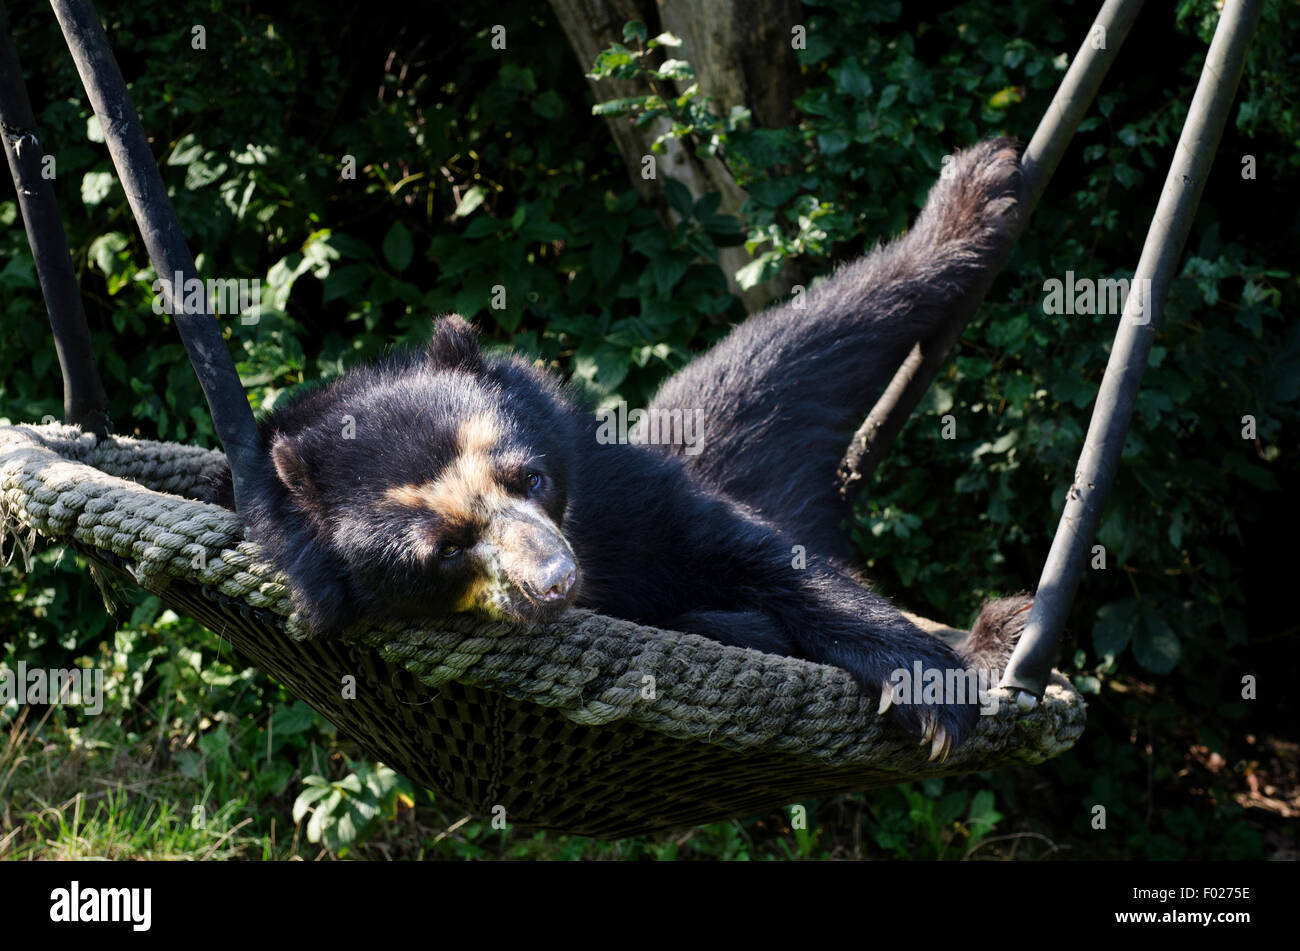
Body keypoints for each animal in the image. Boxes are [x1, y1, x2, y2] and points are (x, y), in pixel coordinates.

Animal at [211, 138, 1028, 760]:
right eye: (443, 548)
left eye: (531, 477)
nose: (554, 580)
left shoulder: (625, 486)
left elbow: (759, 552)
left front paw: (931, 687)